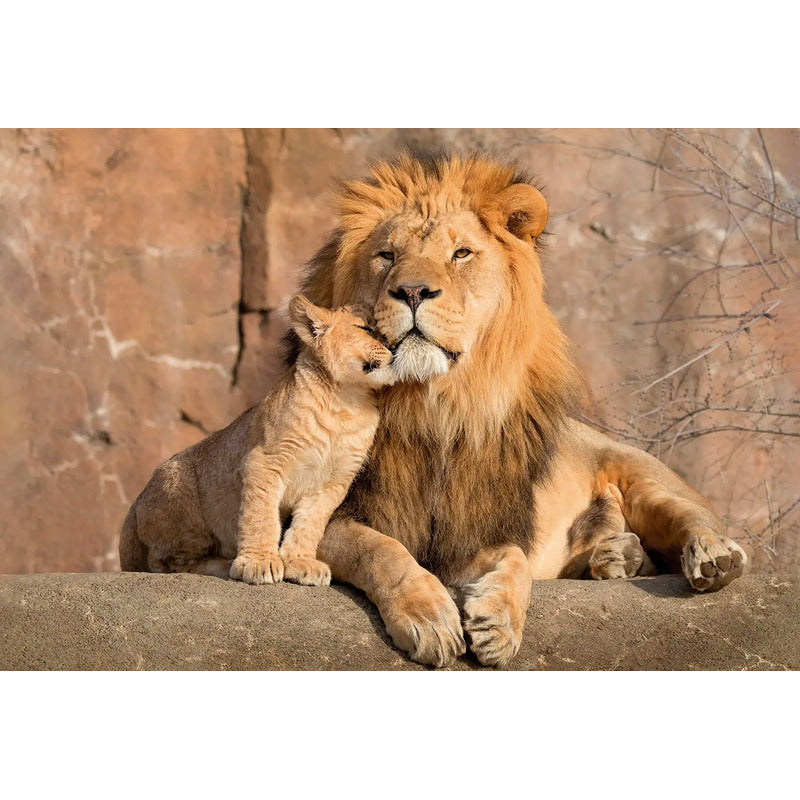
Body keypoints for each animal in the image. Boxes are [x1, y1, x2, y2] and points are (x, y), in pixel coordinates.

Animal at [119, 296, 396, 586]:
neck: (347, 401)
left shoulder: (334, 482)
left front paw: (301, 562)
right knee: (167, 564)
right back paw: (224, 564)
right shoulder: (265, 460)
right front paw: (259, 563)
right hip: (181, 497)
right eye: (366, 329)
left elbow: (310, 524)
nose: (394, 346)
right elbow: (261, 516)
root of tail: (135, 503)